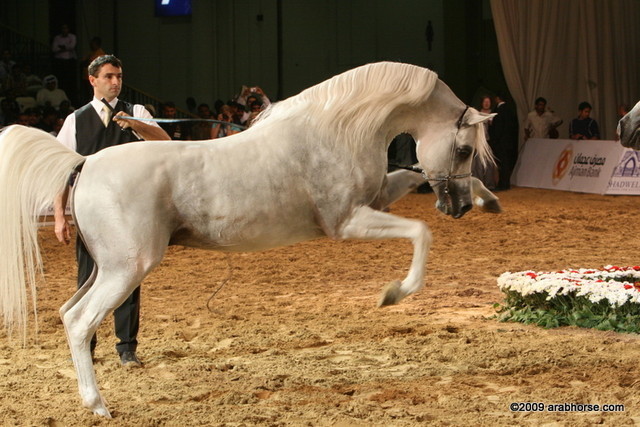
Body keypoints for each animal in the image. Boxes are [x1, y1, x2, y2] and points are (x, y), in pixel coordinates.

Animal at [0, 61, 494, 417]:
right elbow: (420, 232)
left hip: (104, 267)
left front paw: (488, 199)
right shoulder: (347, 222)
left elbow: (413, 183)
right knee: (81, 321)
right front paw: (393, 293)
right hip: (127, 268)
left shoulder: (377, 199)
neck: (335, 129)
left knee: (68, 313)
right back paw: (99, 406)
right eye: (464, 148)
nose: (457, 208)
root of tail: (84, 163)